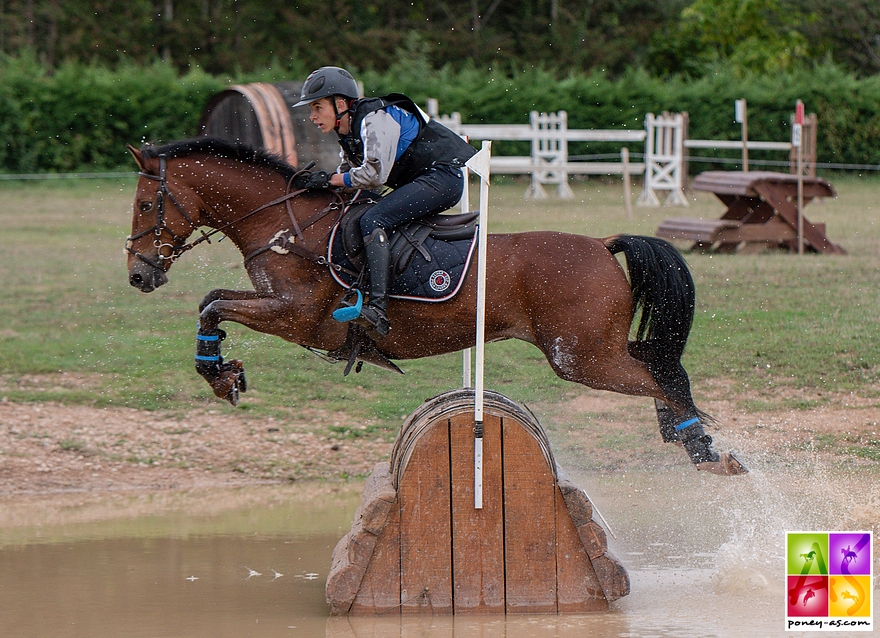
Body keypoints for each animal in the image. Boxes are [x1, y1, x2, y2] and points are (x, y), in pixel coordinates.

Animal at [122, 138, 744, 478]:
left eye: (146, 203)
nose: (139, 274)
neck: (283, 224)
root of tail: (600, 244)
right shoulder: (285, 311)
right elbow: (211, 303)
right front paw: (222, 372)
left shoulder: (295, 315)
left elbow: (212, 306)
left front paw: (219, 375)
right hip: (596, 348)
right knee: (662, 363)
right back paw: (691, 439)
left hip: (582, 358)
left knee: (659, 377)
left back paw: (706, 451)